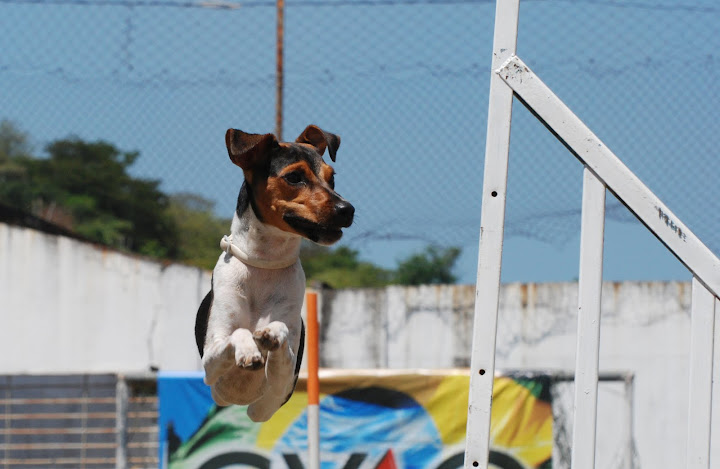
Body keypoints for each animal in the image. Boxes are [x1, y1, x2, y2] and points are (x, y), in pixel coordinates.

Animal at [194, 123, 354, 420]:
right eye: (294, 177)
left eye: (332, 179)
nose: (347, 209)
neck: (264, 264)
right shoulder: (212, 361)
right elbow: (237, 334)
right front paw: (248, 348)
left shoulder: (281, 387)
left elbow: (279, 337)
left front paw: (269, 335)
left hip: (259, 410)